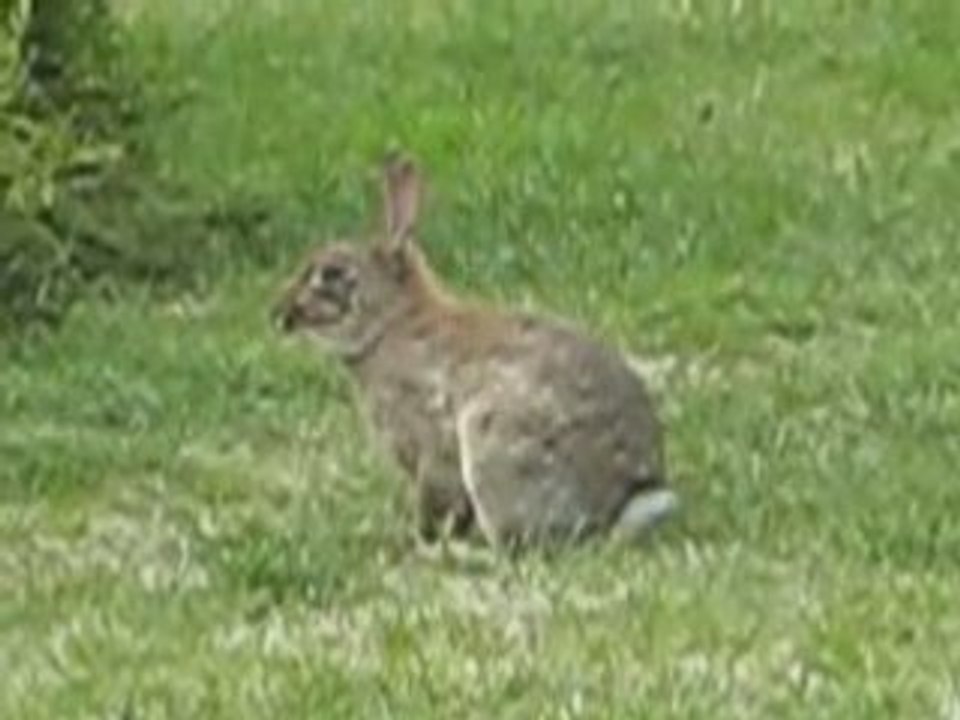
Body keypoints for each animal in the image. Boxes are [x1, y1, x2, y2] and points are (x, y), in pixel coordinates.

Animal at [273, 153, 678, 551]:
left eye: (331, 274)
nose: (278, 312)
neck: (389, 323)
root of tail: (626, 498)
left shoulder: (430, 441)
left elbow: (435, 497)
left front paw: (421, 540)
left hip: (492, 445)